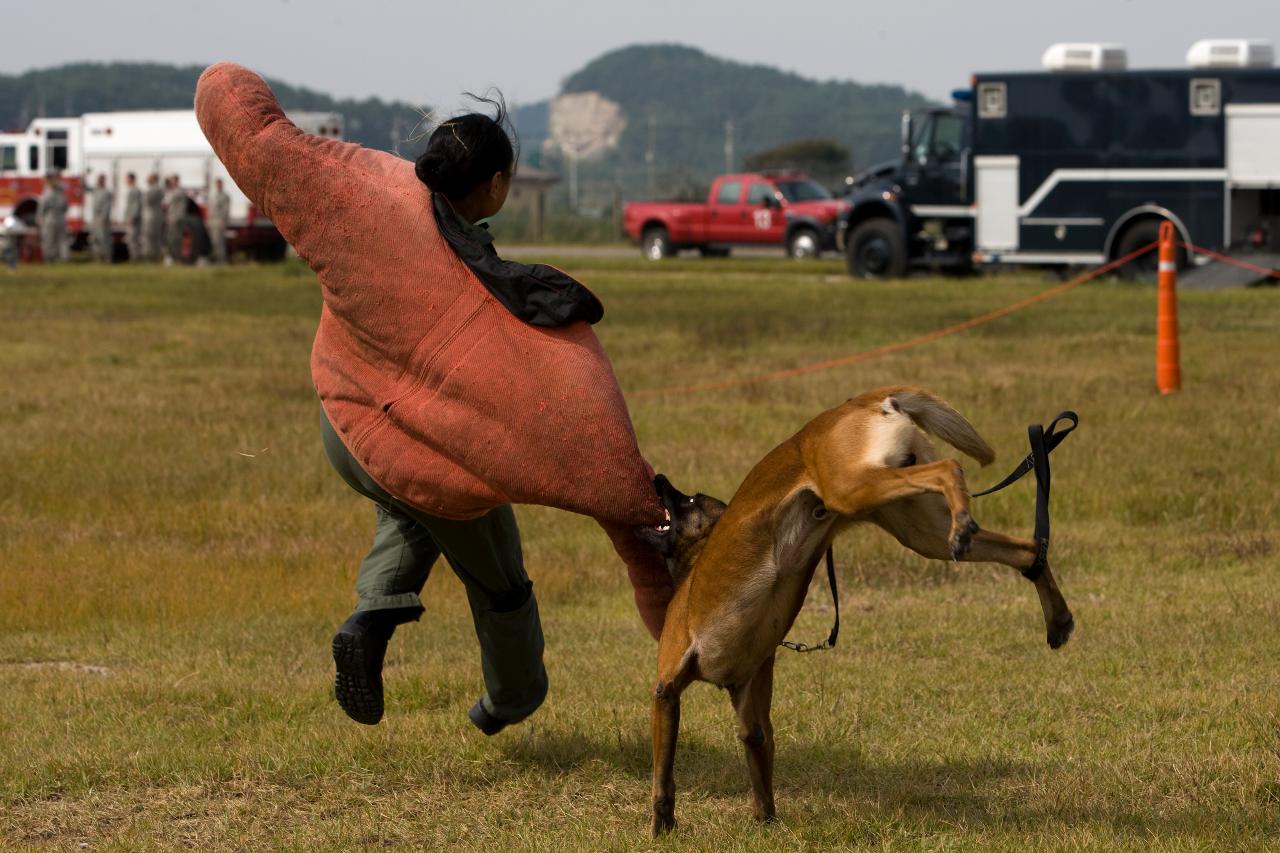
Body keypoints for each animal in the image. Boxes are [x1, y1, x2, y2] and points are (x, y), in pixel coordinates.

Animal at [637, 384, 1070, 829]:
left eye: (689, 499)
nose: (657, 478)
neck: (697, 557)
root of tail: (859, 400)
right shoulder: (750, 703)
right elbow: (760, 761)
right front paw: (765, 822)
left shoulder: (665, 690)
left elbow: (663, 776)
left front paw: (661, 828)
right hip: (918, 527)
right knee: (1027, 549)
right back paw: (1055, 616)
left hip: (852, 487)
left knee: (951, 468)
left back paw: (965, 521)